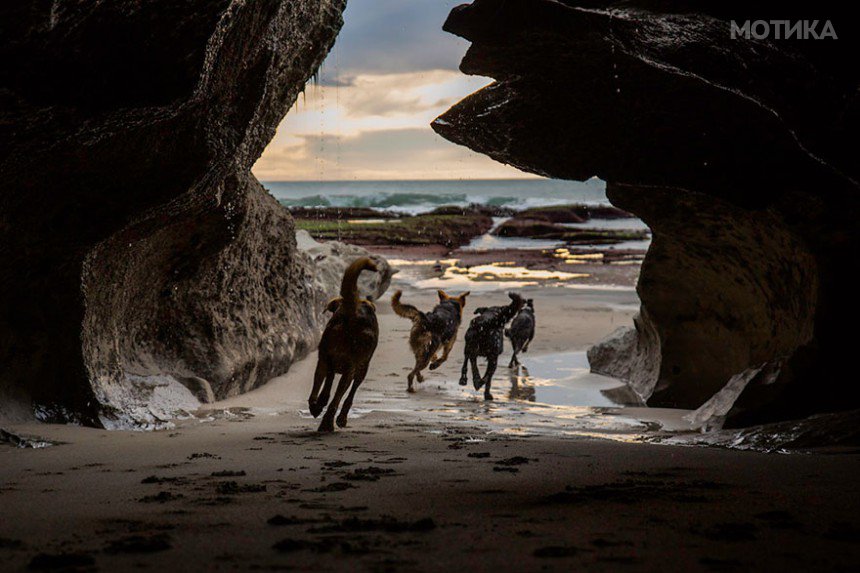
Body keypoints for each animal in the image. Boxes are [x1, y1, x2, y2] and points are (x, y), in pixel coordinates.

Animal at [308, 256, 378, 432]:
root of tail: (352, 314)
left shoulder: (329, 363)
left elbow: (327, 386)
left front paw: (320, 403)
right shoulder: (359, 369)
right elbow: (347, 396)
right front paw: (340, 417)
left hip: (323, 359)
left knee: (316, 389)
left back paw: (316, 409)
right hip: (353, 369)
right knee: (339, 397)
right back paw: (328, 423)